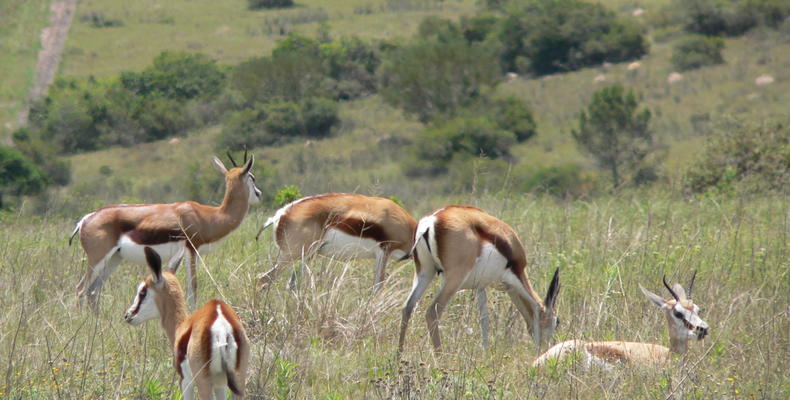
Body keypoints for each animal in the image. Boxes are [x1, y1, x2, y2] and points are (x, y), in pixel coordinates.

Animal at [71, 151, 262, 310]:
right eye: (252, 177)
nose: (259, 194)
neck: (209, 216)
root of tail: (85, 219)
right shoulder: (191, 250)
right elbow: (193, 288)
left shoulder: (177, 256)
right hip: (98, 259)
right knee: (81, 289)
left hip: (114, 259)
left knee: (93, 291)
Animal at [124, 247, 251, 400]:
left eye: (142, 292)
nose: (128, 315)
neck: (181, 327)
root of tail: (221, 324)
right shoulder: (220, 385)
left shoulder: (185, 381)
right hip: (238, 381)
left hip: (204, 383)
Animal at [258, 193, 420, 290]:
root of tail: (282, 213)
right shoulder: (384, 252)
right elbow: (378, 286)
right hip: (291, 256)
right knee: (264, 279)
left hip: (305, 256)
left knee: (289, 284)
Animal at [400, 206, 560, 354]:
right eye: (556, 322)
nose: (546, 348)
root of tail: (432, 220)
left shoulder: (480, 286)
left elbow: (484, 320)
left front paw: (485, 352)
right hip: (454, 279)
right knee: (432, 311)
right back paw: (440, 357)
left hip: (425, 272)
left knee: (408, 306)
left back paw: (398, 356)